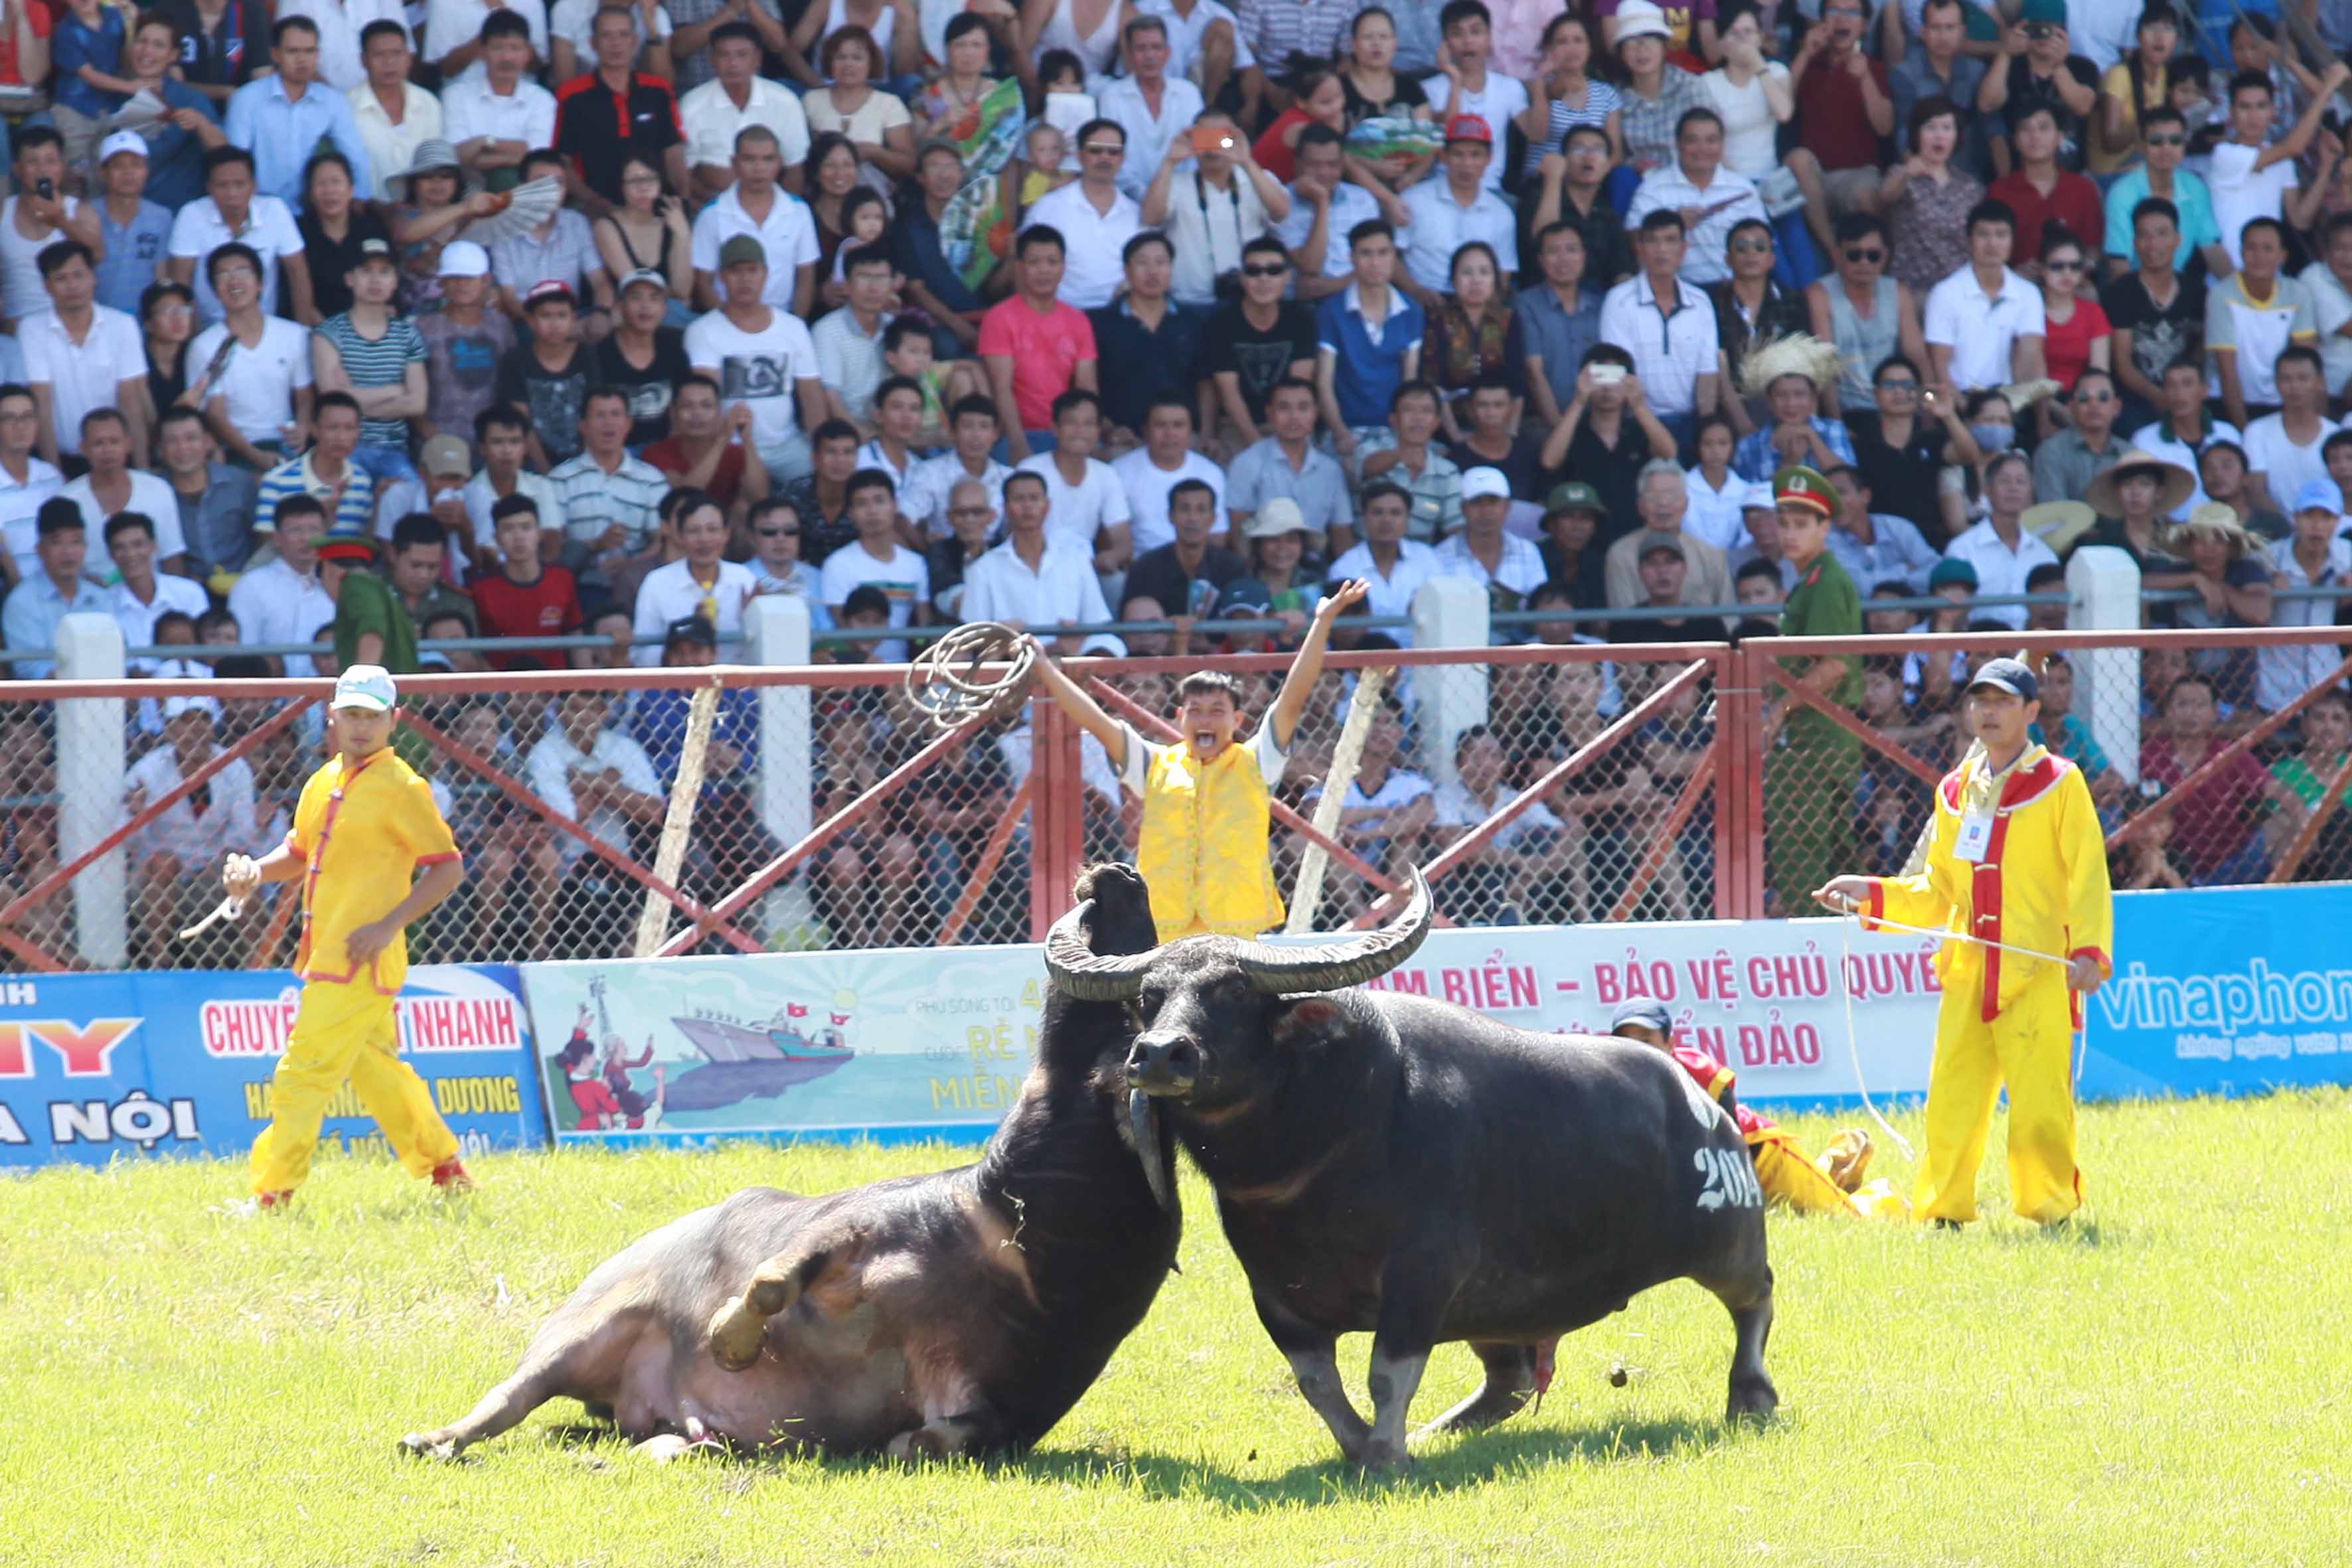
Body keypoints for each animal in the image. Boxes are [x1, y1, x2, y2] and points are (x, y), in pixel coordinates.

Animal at [404, 865, 1185, 1466]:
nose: (1119, 877)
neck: (1021, 1240)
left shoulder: (1011, 1402)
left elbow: (950, 1435)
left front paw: (898, 1441)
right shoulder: (849, 1228)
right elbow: (775, 1279)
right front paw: (727, 1338)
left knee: (665, 1438)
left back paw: (666, 1445)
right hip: (578, 1332)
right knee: (507, 1400)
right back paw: (435, 1439)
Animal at [1040, 870, 1768, 1476]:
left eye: (1236, 989)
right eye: (1150, 996)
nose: (1161, 1054)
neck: (1318, 1155)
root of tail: (1705, 1102)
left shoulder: (1423, 1275)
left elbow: (1387, 1373)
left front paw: (1386, 1454)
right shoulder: (1275, 1295)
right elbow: (1318, 1383)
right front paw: (1367, 1446)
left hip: (1727, 1238)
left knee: (1753, 1299)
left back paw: (1752, 1396)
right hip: (1497, 1303)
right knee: (1509, 1379)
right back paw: (1442, 1430)